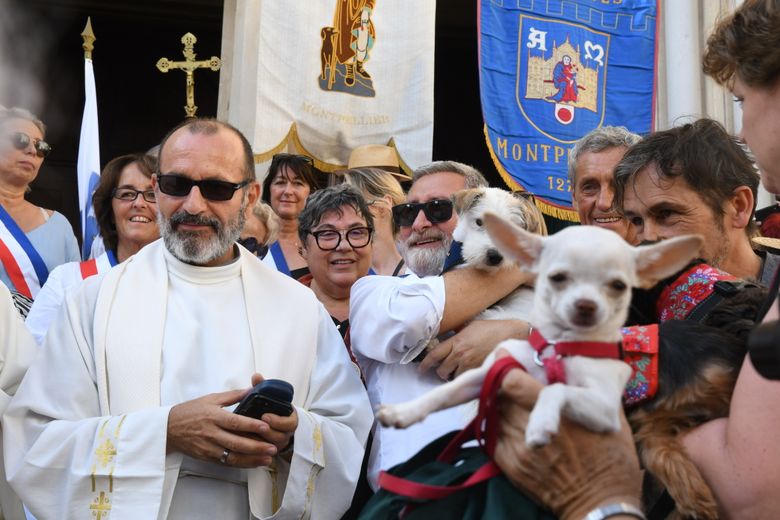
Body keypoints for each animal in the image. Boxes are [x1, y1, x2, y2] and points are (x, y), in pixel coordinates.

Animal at [378, 212, 700, 446]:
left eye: (619, 285)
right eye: (557, 277)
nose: (585, 306)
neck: (557, 349)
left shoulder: (604, 408)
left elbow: (557, 389)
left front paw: (541, 422)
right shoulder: (491, 373)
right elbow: (446, 392)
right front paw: (403, 412)